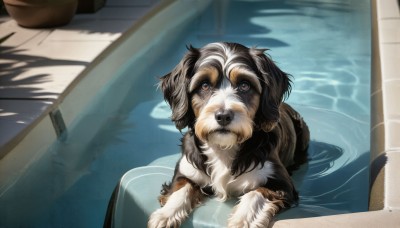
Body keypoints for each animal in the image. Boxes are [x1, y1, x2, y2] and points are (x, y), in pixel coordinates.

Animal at [147, 42, 310, 228]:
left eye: (244, 85)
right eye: (204, 85)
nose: (223, 116)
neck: (223, 147)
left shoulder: (282, 184)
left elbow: (256, 193)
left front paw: (243, 219)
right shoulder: (185, 170)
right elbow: (181, 189)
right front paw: (165, 215)